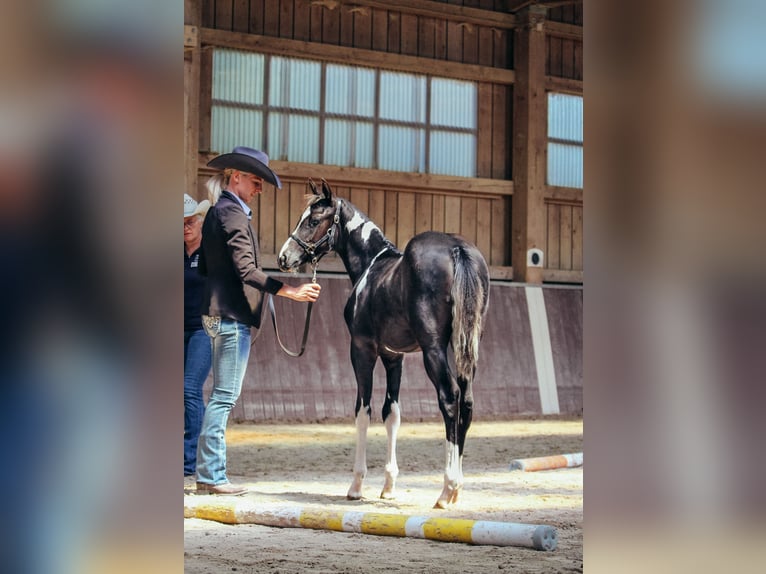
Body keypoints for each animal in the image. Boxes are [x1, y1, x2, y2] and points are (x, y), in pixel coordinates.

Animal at [278, 180, 490, 508]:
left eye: (313, 220)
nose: (284, 258)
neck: (372, 265)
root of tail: (457, 249)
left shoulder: (362, 350)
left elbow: (362, 412)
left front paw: (356, 485)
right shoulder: (394, 357)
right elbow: (392, 413)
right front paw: (388, 486)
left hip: (434, 350)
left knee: (450, 398)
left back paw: (447, 489)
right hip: (466, 345)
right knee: (466, 401)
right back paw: (456, 489)